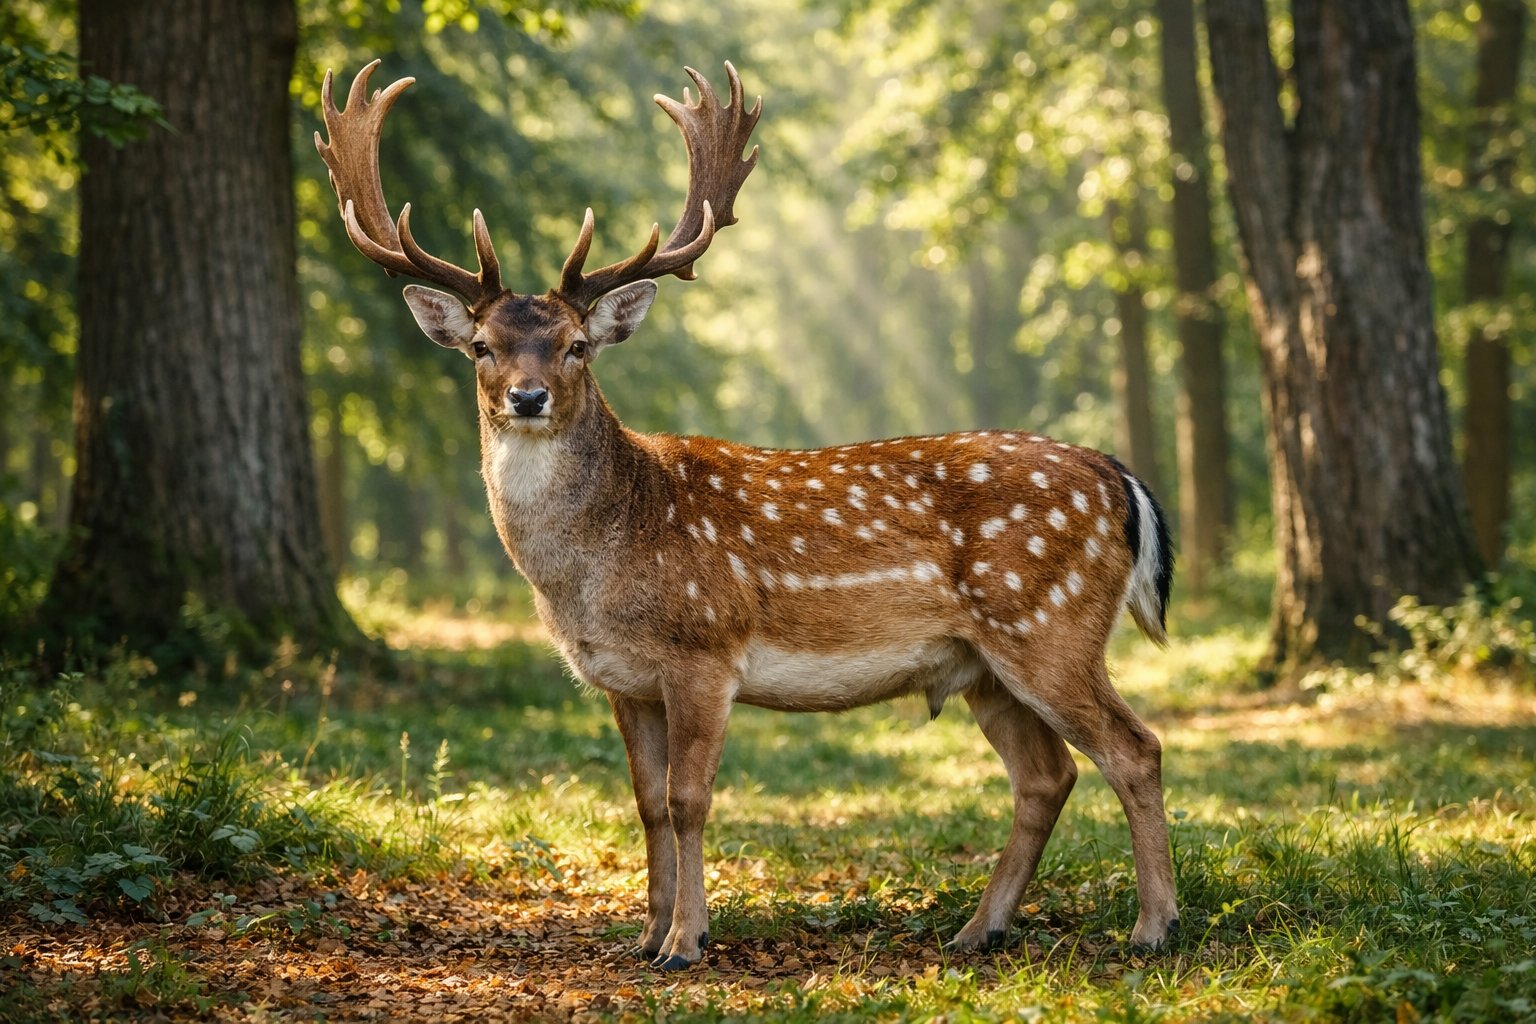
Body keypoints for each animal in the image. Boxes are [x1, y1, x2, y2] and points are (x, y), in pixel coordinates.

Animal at [316, 59, 1179, 971]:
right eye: (482, 346)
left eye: (577, 345)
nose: (527, 396)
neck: (595, 570)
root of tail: (1118, 477)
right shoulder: (623, 682)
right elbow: (645, 802)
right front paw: (644, 934)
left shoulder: (704, 648)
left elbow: (689, 798)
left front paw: (687, 942)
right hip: (982, 665)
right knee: (1047, 775)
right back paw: (980, 927)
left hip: (1049, 624)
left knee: (1135, 748)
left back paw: (1153, 925)